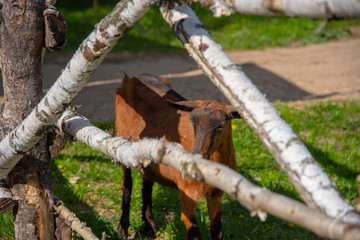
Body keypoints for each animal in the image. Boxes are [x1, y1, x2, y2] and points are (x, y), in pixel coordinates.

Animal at [115, 74, 239, 239]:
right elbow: (194, 232)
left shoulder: (216, 194)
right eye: (192, 121)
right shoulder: (187, 193)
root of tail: (132, 77)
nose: (198, 155)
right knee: (127, 186)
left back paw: (149, 226)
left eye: (221, 125)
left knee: (147, 184)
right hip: (123, 145)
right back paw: (122, 230)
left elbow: (217, 230)